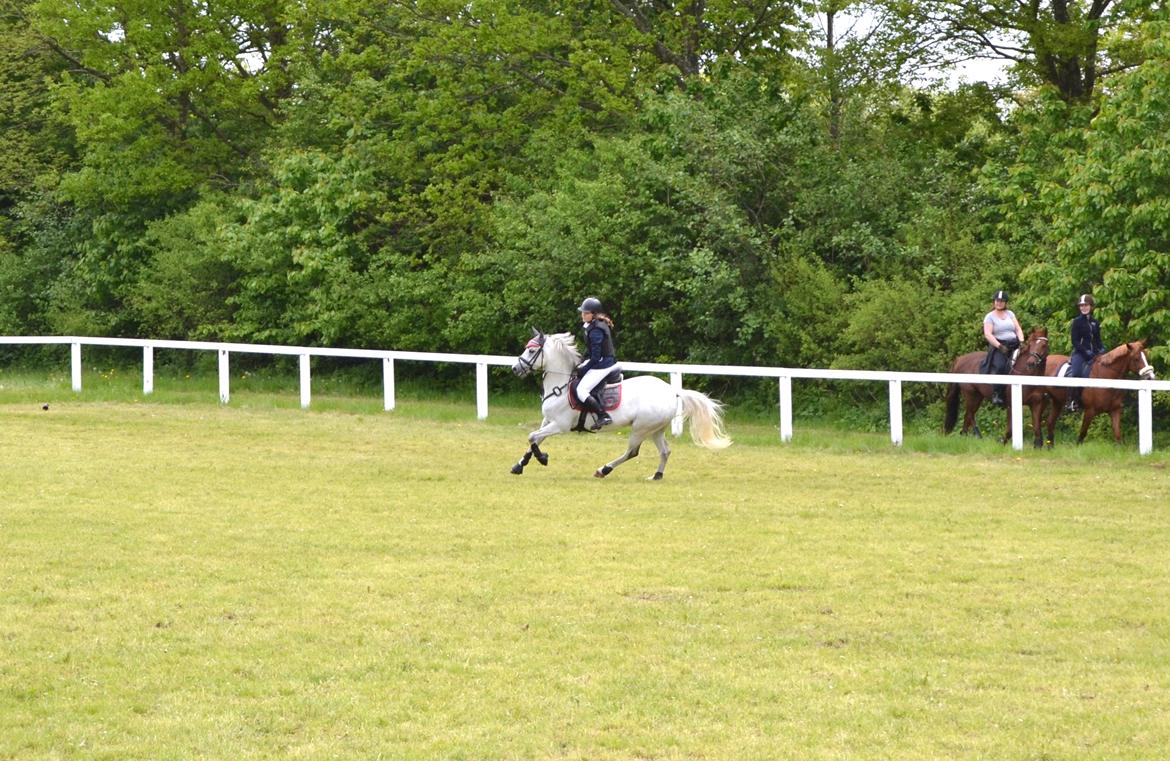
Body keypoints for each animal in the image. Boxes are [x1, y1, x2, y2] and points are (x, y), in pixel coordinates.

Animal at [510, 330, 731, 479]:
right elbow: (536, 439)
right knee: (665, 451)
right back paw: (656, 475)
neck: (560, 387)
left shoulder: (560, 425)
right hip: (655, 429)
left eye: (531, 350)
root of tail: (671, 391)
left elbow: (532, 437)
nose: (515, 369)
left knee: (632, 452)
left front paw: (542, 458)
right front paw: (520, 465)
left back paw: (603, 469)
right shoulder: (548, 421)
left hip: (641, 428)